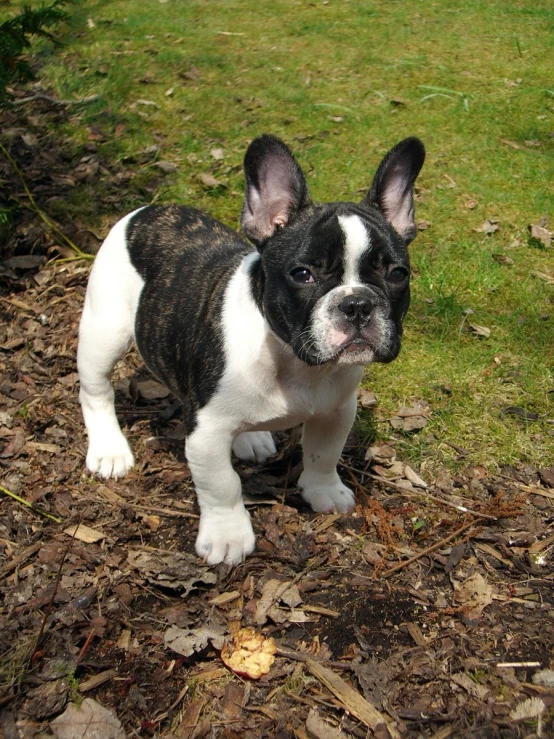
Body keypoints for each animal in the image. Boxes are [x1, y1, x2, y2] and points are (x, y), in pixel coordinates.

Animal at [76, 133, 422, 564]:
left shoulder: (337, 410)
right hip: (104, 331)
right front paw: (228, 535)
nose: (357, 303)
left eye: (397, 274)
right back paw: (109, 449)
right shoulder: (206, 430)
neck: (290, 358)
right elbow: (221, 484)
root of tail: (147, 210)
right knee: (96, 390)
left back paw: (250, 439)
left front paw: (324, 491)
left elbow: (324, 454)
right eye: (302, 274)